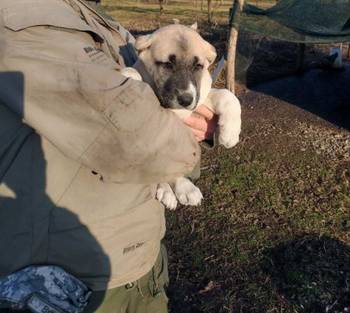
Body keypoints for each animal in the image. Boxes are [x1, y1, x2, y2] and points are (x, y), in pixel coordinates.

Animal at [120, 22, 241, 210]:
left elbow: (227, 94)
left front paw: (230, 133)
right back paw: (176, 189)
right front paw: (130, 73)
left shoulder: (199, 100)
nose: (186, 100)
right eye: (168, 64)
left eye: (198, 66)